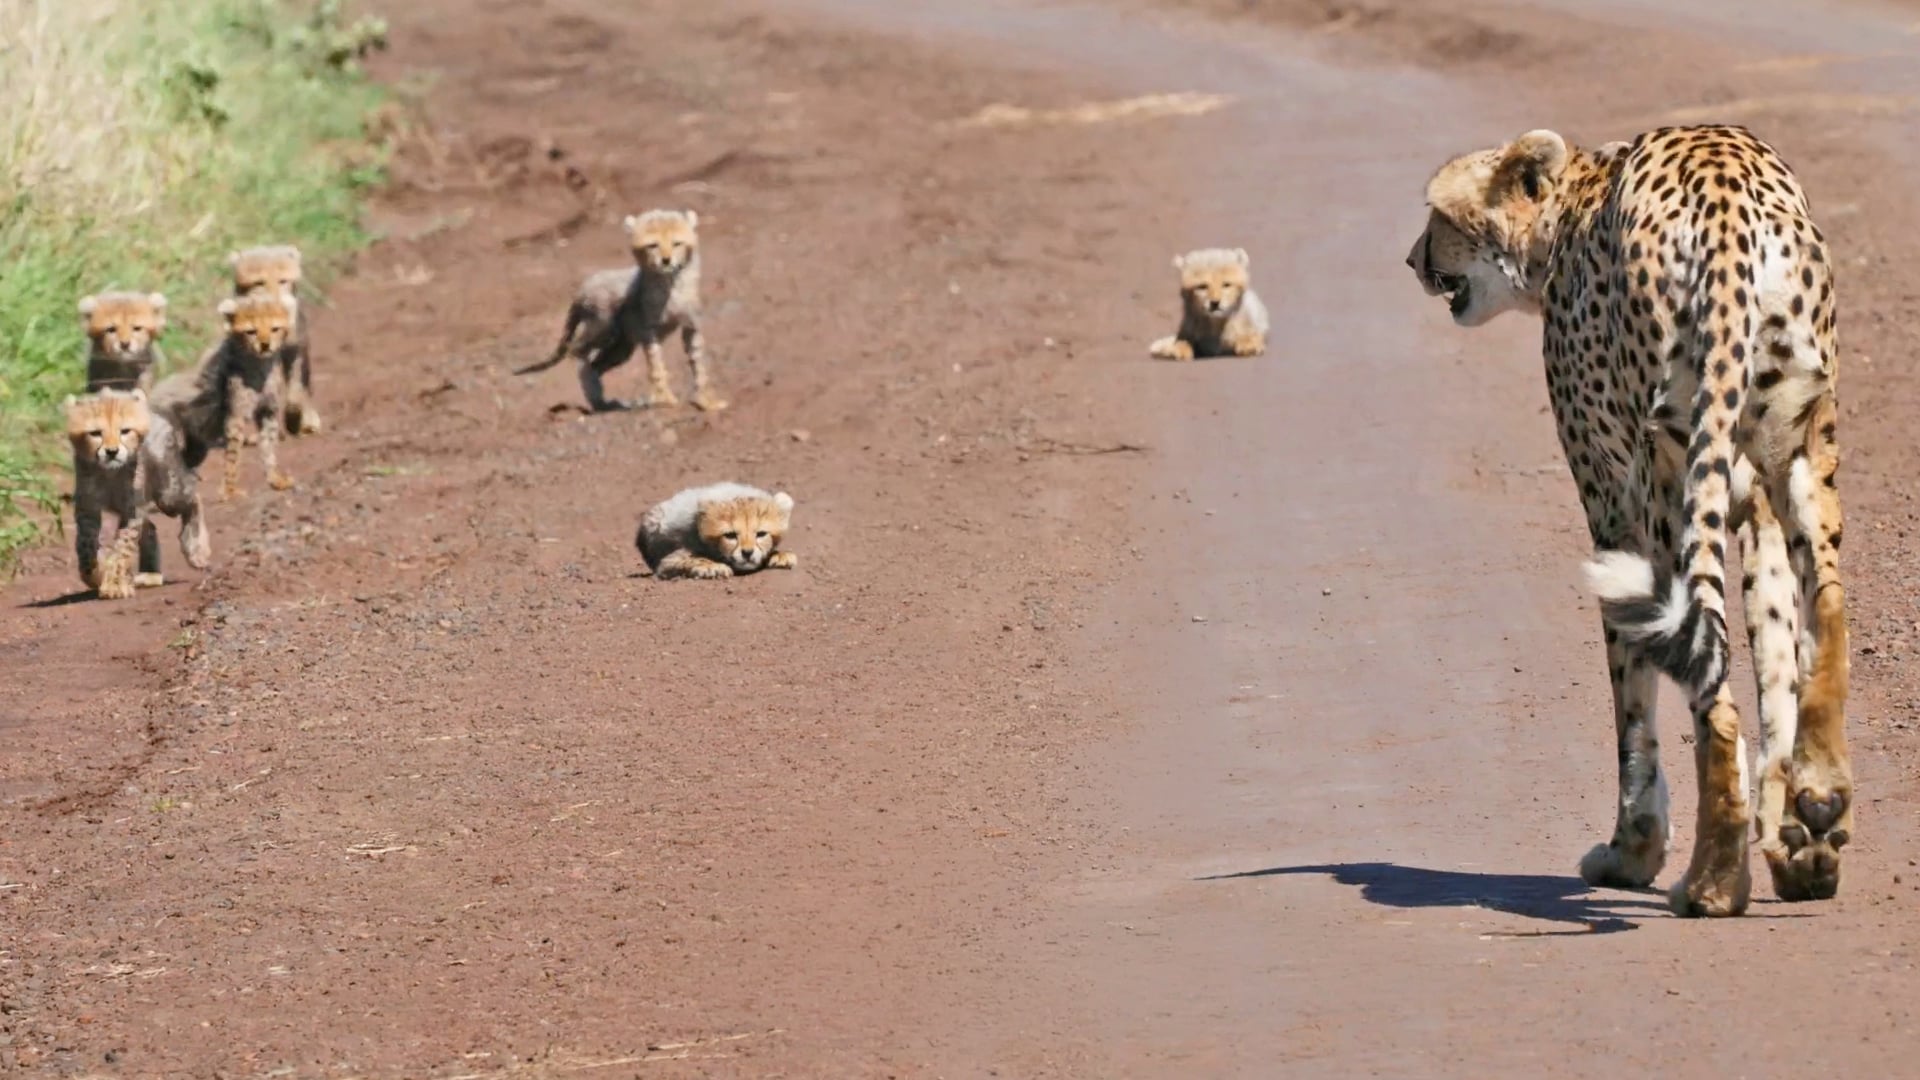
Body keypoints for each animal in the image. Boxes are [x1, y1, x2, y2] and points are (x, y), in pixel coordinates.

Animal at [65, 388, 210, 599]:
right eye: (95, 433)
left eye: (125, 431)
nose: (112, 452)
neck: (109, 472)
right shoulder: (87, 509)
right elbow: (84, 545)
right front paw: (94, 574)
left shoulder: (131, 509)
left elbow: (122, 547)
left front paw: (114, 585)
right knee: (150, 527)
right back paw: (151, 575)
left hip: (167, 495)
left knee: (194, 497)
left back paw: (197, 551)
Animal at [150, 294, 296, 500]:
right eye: (251, 331)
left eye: (275, 329)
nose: (265, 345)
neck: (258, 363)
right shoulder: (236, 417)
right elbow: (233, 455)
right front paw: (230, 490)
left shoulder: (267, 411)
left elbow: (269, 446)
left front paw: (275, 479)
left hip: (196, 446)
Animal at [516, 209, 725, 413]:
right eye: (653, 245)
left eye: (677, 243)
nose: (666, 260)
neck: (672, 283)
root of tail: (585, 286)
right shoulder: (649, 331)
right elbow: (656, 365)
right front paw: (664, 399)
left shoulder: (691, 326)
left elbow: (698, 364)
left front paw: (707, 401)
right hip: (602, 327)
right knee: (577, 351)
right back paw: (597, 396)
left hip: (621, 347)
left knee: (596, 364)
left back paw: (602, 403)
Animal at [635, 482, 797, 580]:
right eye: (730, 535)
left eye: (761, 534)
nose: (747, 553)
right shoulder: (667, 562)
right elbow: (692, 559)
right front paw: (712, 567)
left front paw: (780, 555)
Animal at [1406, 124, 1851, 917]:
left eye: (1440, 217)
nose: (1413, 260)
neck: (1570, 209)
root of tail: (1725, 192)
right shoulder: (1756, 504)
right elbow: (1776, 668)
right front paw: (1794, 841)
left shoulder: (1612, 511)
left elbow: (1633, 697)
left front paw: (1632, 849)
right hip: (1799, 441)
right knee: (1826, 610)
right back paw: (1822, 790)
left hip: (1668, 475)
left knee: (1712, 684)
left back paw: (1711, 882)